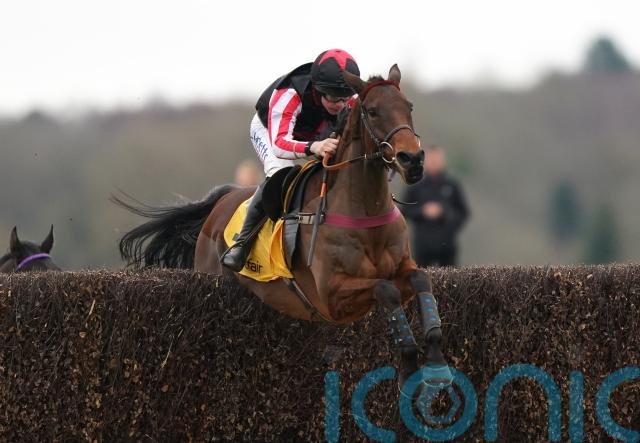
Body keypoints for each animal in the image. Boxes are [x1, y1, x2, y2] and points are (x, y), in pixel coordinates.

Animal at [114, 65, 451, 391]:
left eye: (409, 106)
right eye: (372, 110)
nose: (413, 159)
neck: (362, 210)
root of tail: (221, 200)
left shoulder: (402, 270)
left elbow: (421, 279)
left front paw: (435, 361)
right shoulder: (332, 295)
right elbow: (385, 288)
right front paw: (409, 365)